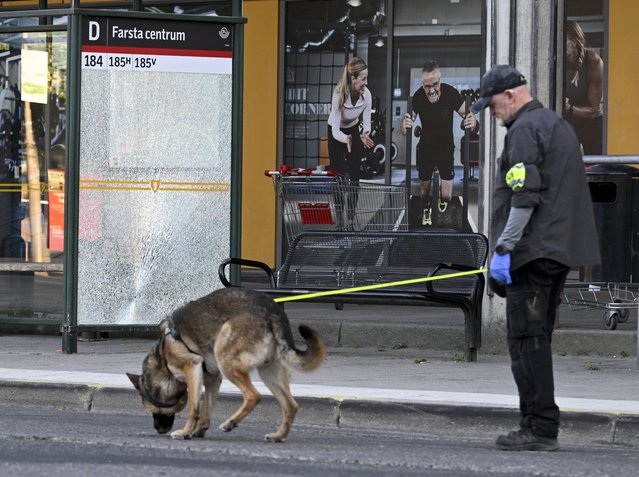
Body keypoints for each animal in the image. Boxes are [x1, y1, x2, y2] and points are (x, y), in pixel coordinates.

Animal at [126, 286, 324, 442]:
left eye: (152, 409)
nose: (158, 430)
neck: (163, 360)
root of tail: (273, 311)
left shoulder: (192, 368)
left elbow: (194, 407)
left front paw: (184, 432)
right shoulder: (213, 380)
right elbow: (206, 409)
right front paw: (198, 431)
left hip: (227, 361)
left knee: (253, 396)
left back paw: (231, 422)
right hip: (269, 374)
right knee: (291, 405)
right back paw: (279, 435)